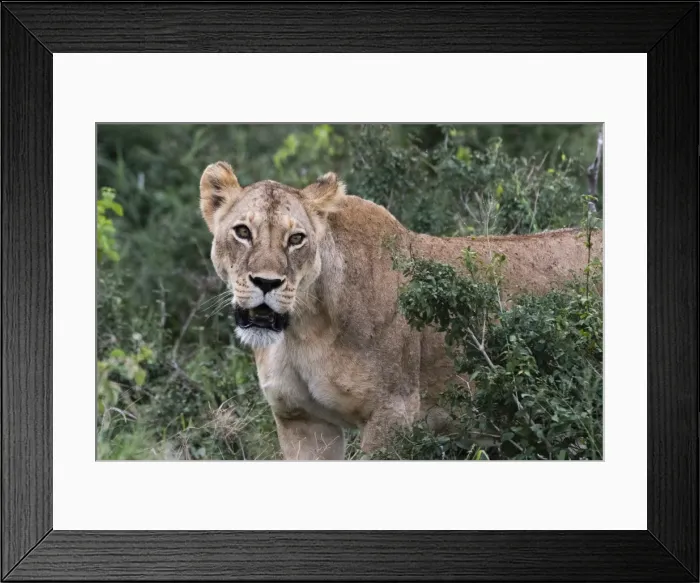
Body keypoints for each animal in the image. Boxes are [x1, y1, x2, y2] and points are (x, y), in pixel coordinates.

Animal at [199, 161, 603, 460]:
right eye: (242, 232)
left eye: (296, 239)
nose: (266, 283)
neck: (301, 329)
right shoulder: (301, 421)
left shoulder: (394, 412)